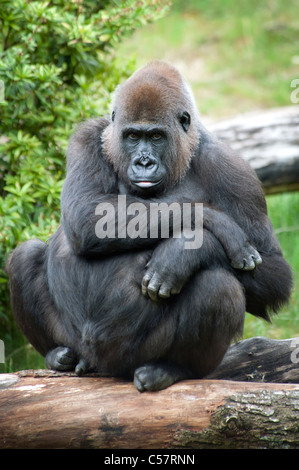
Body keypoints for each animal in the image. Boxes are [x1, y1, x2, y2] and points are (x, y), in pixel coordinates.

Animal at [6, 62, 292, 392]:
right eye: (132, 136)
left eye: (156, 136)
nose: (144, 163)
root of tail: (101, 366)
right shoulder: (88, 137)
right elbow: (85, 213)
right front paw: (210, 223)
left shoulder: (233, 169)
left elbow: (273, 274)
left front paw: (183, 252)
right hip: (76, 340)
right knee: (26, 254)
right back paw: (57, 355)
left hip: (133, 356)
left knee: (218, 285)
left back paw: (171, 369)